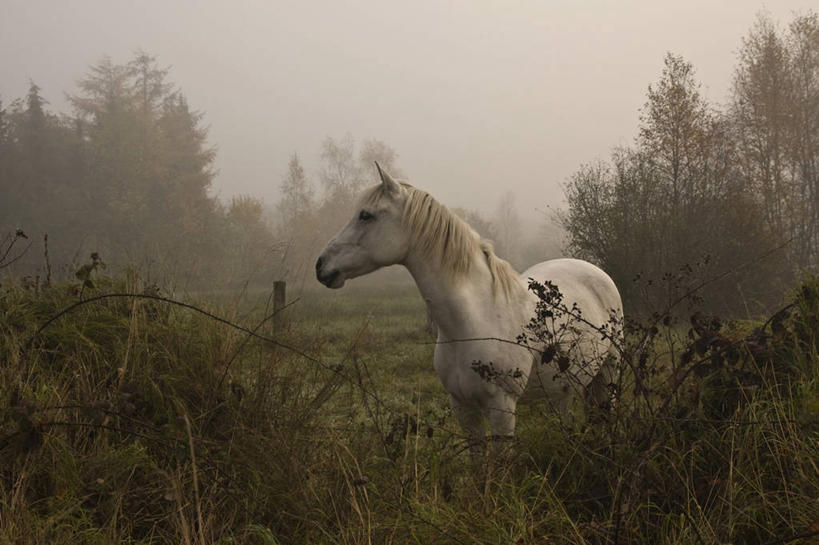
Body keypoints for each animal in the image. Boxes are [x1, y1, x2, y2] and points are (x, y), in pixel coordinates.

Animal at [314, 165, 620, 442]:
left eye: (366, 215)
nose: (321, 265)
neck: (476, 318)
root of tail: (596, 271)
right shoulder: (462, 406)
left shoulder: (502, 408)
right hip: (564, 388)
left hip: (610, 373)